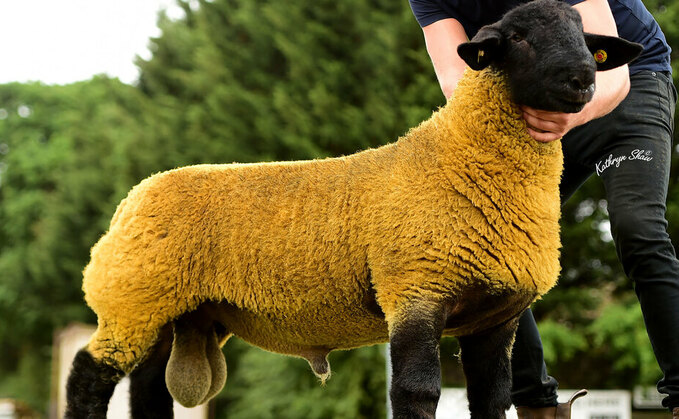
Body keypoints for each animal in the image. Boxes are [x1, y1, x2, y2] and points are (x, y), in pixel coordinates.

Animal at [65, 1, 644, 418]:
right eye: (518, 37)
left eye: (586, 40)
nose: (582, 80)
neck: (456, 159)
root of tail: (133, 198)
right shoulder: (414, 290)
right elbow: (416, 393)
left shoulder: (496, 318)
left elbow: (491, 399)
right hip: (131, 302)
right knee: (87, 376)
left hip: (172, 311)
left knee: (147, 388)